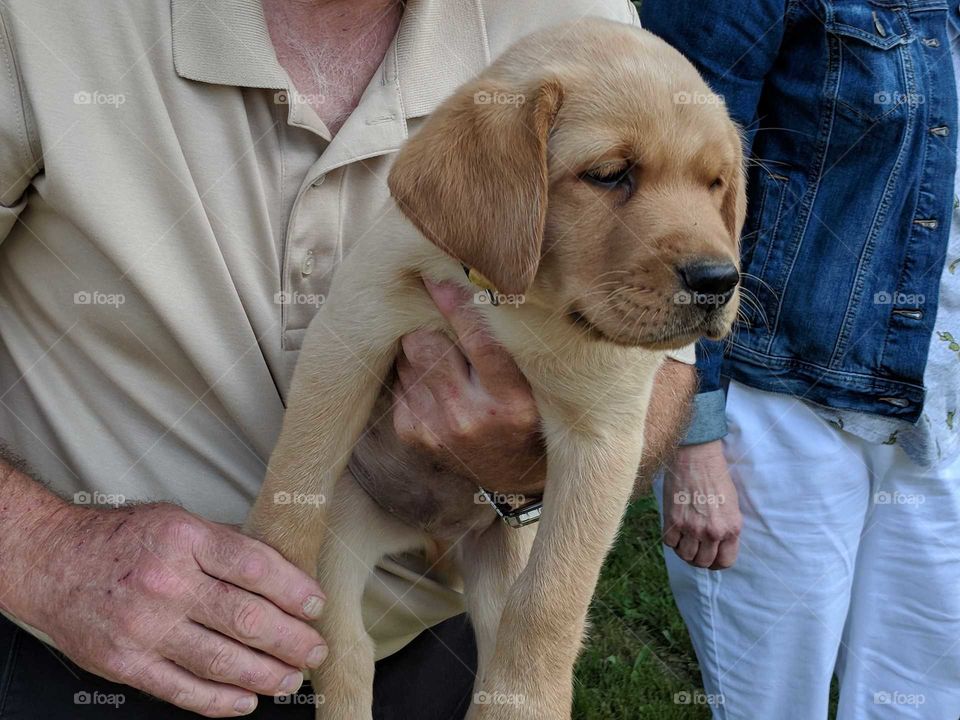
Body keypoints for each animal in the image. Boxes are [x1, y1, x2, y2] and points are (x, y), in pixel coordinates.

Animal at [246, 16, 744, 720]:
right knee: (346, 654)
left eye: (715, 184)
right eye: (609, 174)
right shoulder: (348, 337)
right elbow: (294, 480)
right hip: (344, 544)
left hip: (499, 562)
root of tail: (436, 543)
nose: (718, 281)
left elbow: (551, 601)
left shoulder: (603, 437)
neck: (516, 298)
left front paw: (525, 701)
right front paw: (262, 590)